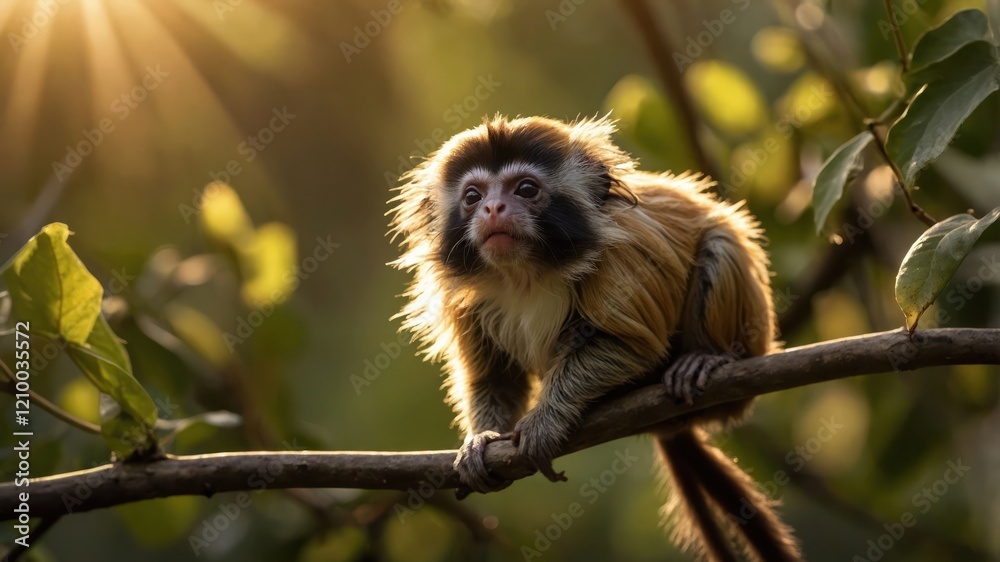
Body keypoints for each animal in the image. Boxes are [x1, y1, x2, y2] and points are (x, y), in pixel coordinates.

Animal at [389, 115, 801, 561]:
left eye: (526, 190)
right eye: (472, 196)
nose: (492, 208)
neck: (527, 271)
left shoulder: (620, 254)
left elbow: (632, 346)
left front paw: (546, 420)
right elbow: (493, 378)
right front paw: (481, 439)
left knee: (720, 244)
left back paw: (711, 357)